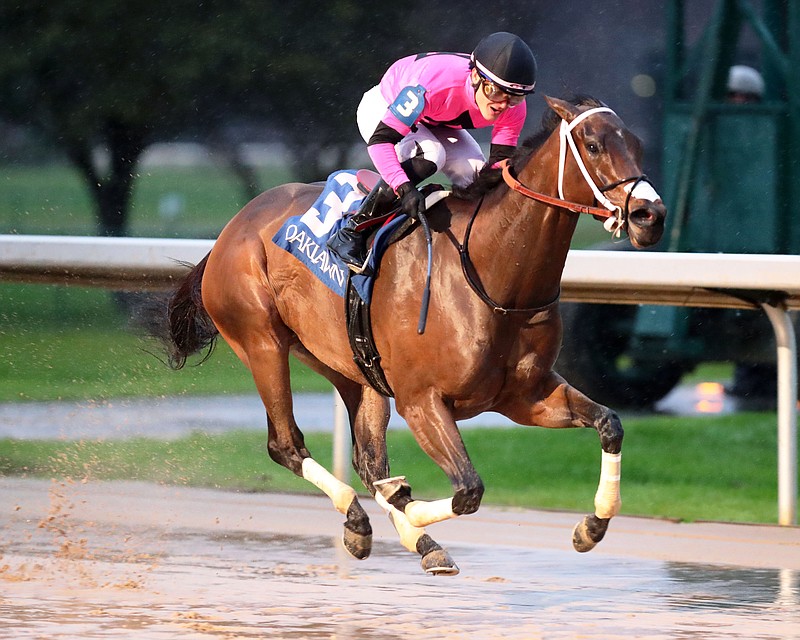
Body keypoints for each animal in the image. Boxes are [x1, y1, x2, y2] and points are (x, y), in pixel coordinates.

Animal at [159, 95, 664, 576]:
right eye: (593, 145)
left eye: (638, 145)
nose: (650, 215)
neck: (492, 274)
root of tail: (234, 226)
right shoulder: (422, 402)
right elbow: (467, 491)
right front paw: (408, 506)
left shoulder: (526, 395)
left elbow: (610, 424)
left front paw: (591, 526)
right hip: (261, 341)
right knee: (286, 444)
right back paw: (368, 518)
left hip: (349, 366)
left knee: (367, 459)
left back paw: (407, 537)